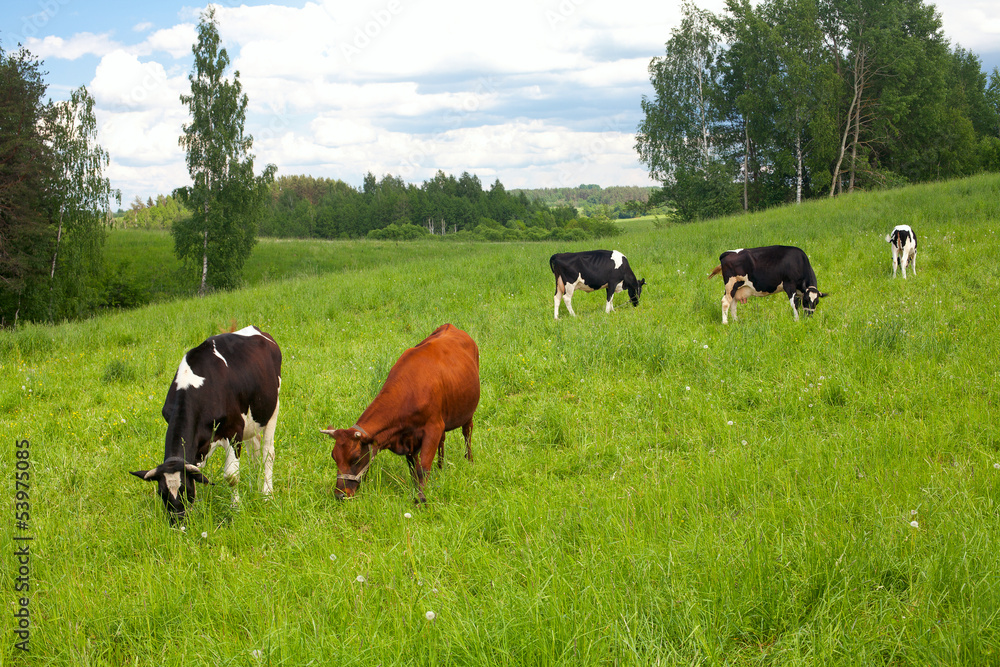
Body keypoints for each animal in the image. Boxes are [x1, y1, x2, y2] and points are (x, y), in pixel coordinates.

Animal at [130, 326, 282, 520]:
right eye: (161, 493)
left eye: (186, 490)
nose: (178, 522)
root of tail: (257, 330)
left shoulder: (234, 430)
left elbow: (231, 476)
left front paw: (235, 507)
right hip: (251, 421)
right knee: (254, 450)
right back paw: (252, 484)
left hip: (272, 409)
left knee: (267, 453)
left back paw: (266, 493)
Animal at [320, 323, 479, 503]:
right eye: (334, 457)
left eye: (356, 458)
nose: (340, 494)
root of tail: (450, 326)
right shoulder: (410, 439)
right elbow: (413, 468)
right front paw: (415, 490)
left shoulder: (433, 428)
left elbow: (423, 468)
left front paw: (421, 499)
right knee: (443, 440)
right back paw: (440, 467)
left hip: (468, 412)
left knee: (467, 433)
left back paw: (469, 461)